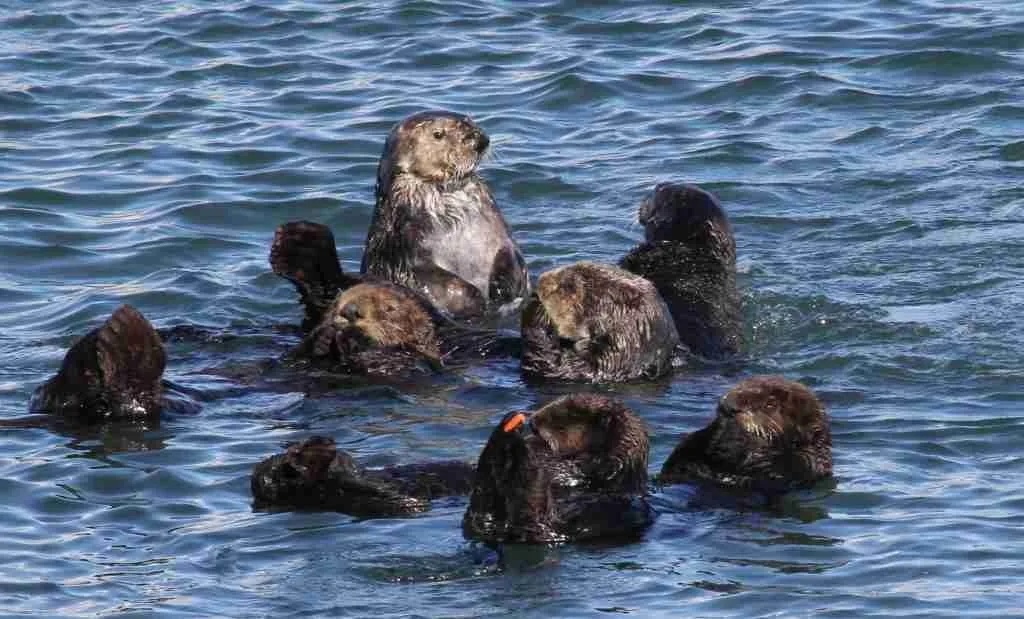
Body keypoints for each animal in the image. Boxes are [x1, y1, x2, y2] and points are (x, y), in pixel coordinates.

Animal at [360, 110, 529, 318]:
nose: (480, 140)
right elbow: (426, 278)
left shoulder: (500, 232)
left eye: (470, 120)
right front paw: (475, 300)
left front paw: (503, 287)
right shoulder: (405, 247)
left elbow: (509, 250)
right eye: (438, 134)